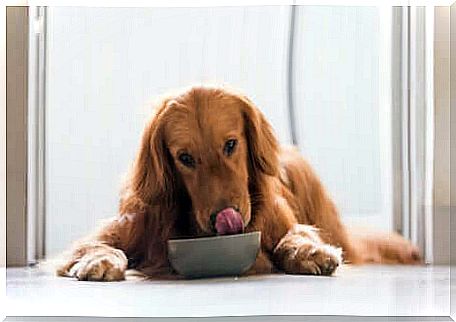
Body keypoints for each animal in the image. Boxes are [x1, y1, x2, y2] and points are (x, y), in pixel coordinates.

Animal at [55, 85, 422, 282]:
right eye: (184, 158)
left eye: (231, 144)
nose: (224, 217)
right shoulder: (126, 226)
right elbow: (95, 245)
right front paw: (99, 260)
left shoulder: (281, 223)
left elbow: (294, 236)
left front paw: (310, 251)